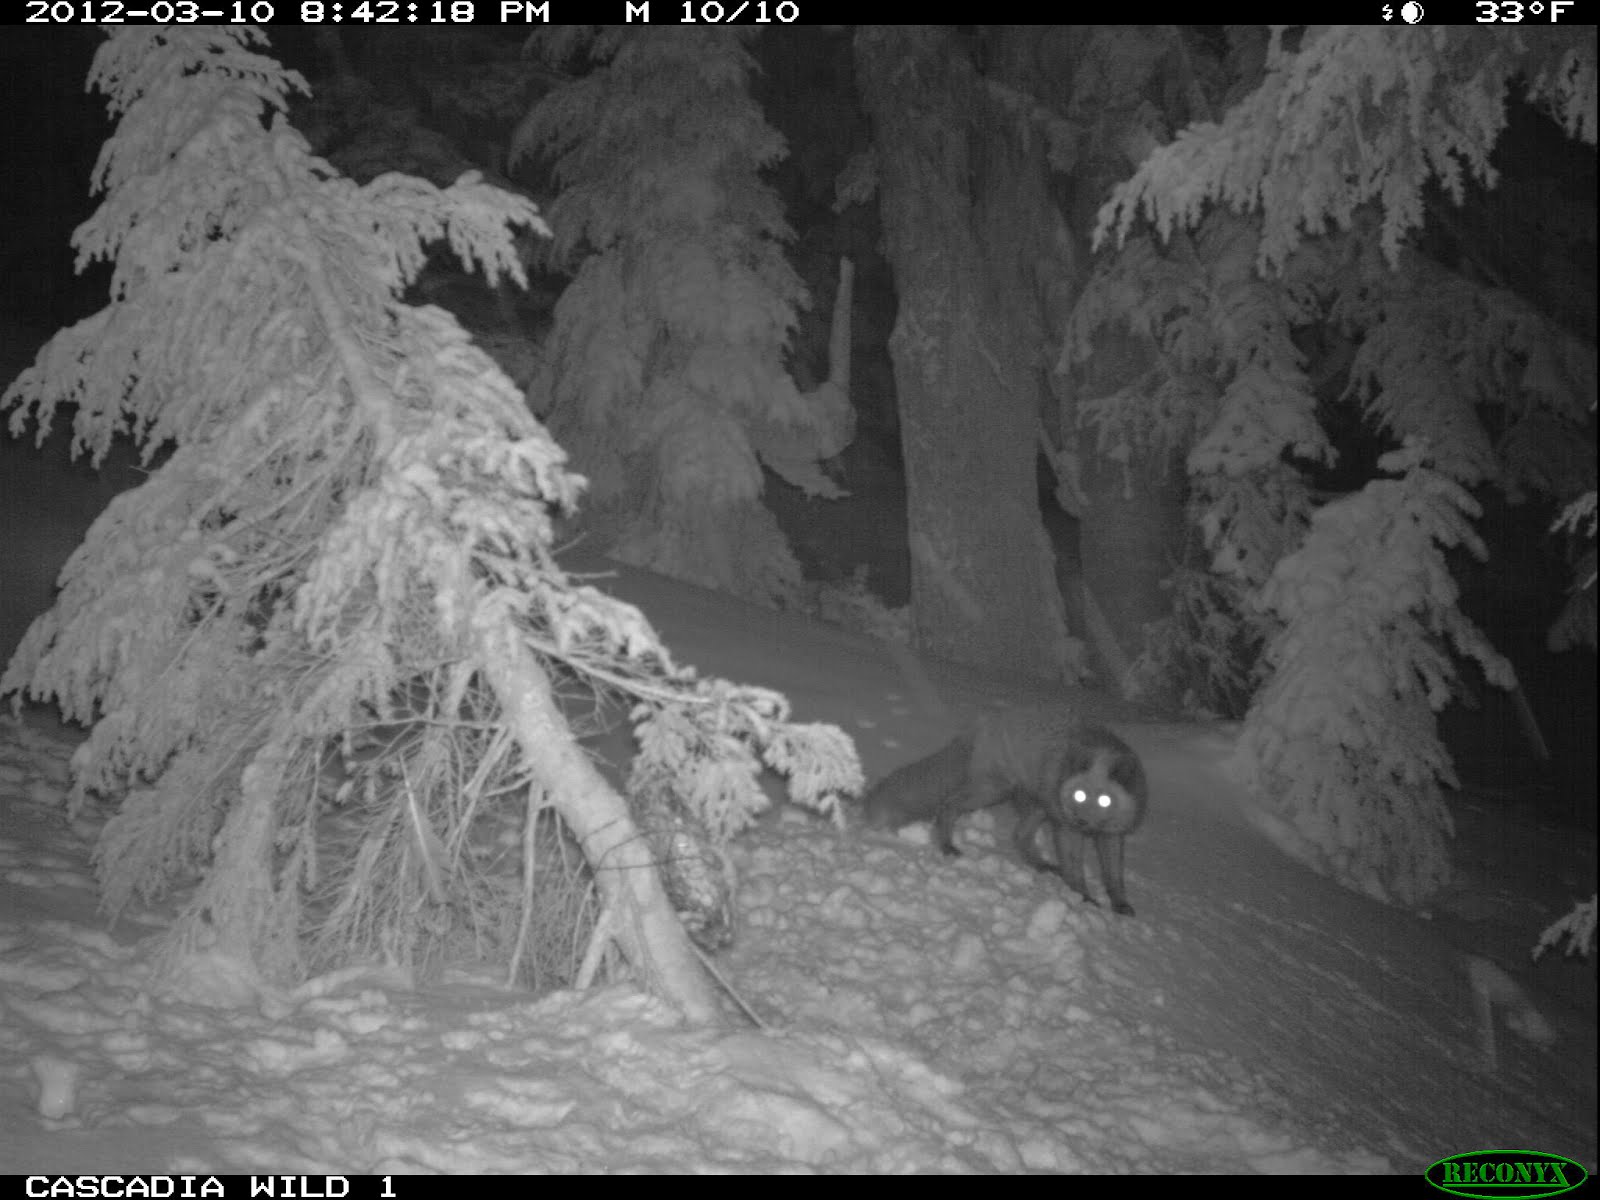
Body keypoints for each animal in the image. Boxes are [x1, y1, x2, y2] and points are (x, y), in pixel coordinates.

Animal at [860, 708, 1148, 916]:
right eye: (1079, 795)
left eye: (1104, 800)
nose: (1081, 820)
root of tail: (981, 724)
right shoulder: (1066, 828)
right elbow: (1075, 868)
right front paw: (1084, 898)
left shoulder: (1113, 833)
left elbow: (1114, 875)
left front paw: (1120, 904)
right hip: (994, 791)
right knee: (949, 805)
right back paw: (946, 845)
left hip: (1038, 804)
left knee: (1020, 835)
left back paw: (1041, 865)